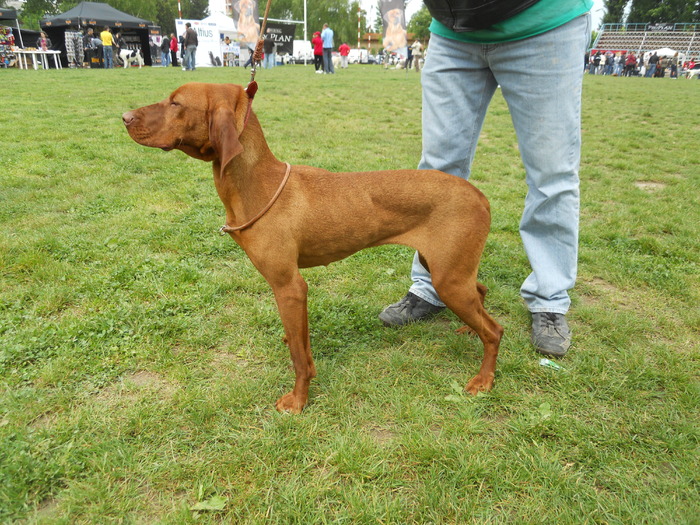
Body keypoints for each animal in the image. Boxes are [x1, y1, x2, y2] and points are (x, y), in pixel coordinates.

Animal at [121, 82, 504, 412]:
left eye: (176, 103)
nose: (124, 117)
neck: (258, 183)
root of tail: (479, 195)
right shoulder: (296, 292)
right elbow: (301, 344)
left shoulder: (288, 286)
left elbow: (298, 357)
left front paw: (298, 401)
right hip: (441, 265)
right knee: (481, 291)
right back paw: (470, 330)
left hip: (447, 277)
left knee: (496, 330)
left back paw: (484, 379)